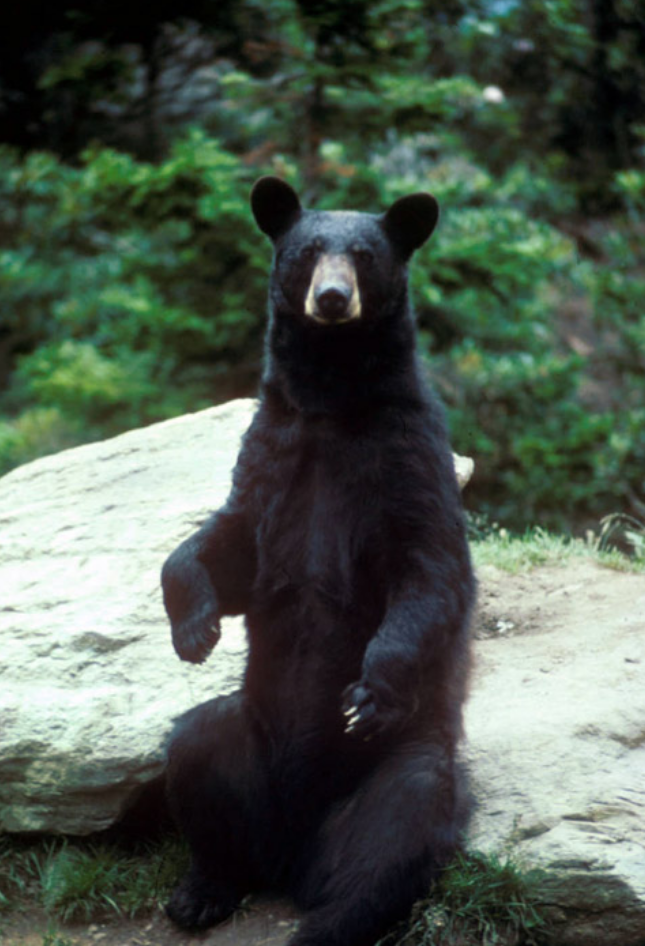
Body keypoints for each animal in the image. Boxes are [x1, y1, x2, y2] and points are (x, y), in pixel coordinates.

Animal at [161, 176, 475, 946]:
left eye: (363, 254)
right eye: (306, 252)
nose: (331, 299)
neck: (332, 405)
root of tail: (292, 857)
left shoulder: (408, 457)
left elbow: (428, 571)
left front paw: (368, 690)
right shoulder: (273, 449)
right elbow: (229, 541)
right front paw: (194, 628)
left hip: (394, 767)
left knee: (396, 830)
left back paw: (327, 922)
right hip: (247, 744)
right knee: (197, 749)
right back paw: (202, 891)